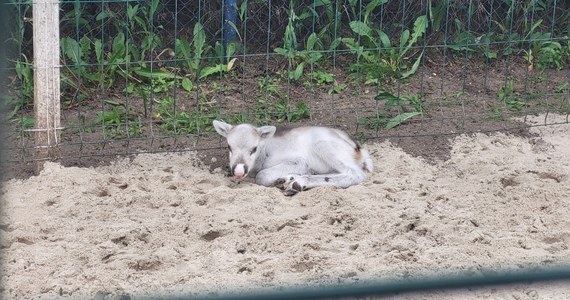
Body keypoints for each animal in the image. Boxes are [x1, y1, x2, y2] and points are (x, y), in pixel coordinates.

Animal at [211, 120, 370, 196]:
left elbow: (262, 176)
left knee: (355, 174)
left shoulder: (300, 161)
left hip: (323, 145)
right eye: (229, 146)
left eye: (254, 148)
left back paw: (297, 183)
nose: (238, 171)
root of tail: (359, 150)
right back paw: (287, 181)